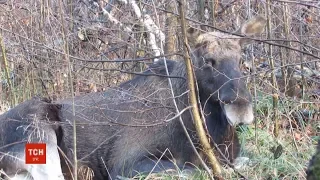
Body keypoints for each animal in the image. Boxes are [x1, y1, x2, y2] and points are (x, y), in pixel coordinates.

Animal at [0, 15, 264, 180]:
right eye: (208, 61)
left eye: (241, 59)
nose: (241, 107)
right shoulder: (124, 163)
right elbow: (191, 169)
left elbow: (243, 161)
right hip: (41, 137)